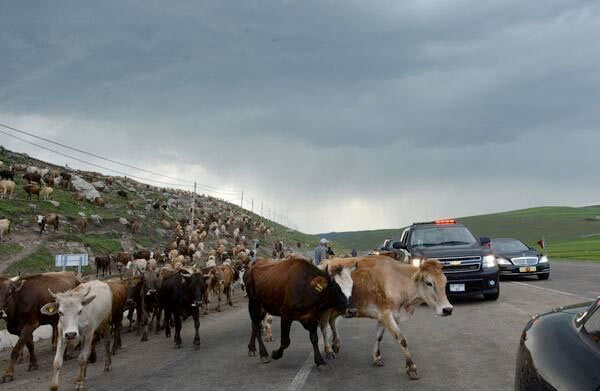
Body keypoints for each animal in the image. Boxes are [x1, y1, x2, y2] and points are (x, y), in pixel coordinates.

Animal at [318, 258, 450, 380]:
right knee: (324, 326)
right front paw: (411, 368)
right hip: (325, 309)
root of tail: (325, 261)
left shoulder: (383, 316)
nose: (448, 309)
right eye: (429, 283)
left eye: (445, 282)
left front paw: (377, 358)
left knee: (332, 321)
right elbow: (402, 339)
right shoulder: (386, 314)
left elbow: (379, 337)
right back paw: (328, 350)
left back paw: (336, 344)